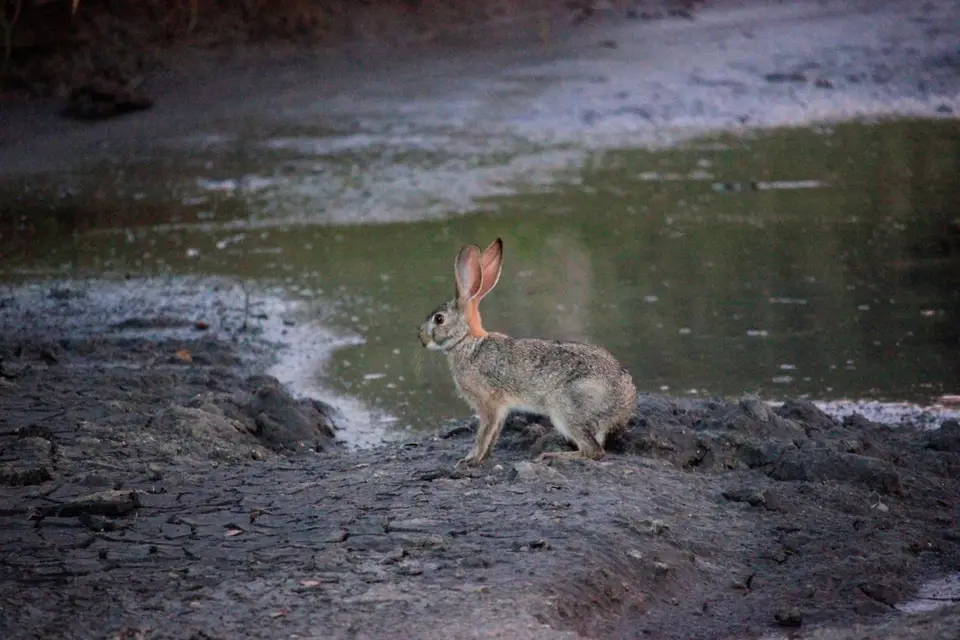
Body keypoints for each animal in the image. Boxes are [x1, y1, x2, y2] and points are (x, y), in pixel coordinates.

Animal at [419, 237, 637, 467]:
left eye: (439, 319)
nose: (421, 339)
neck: (467, 341)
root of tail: (624, 404)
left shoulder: (488, 403)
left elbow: (483, 433)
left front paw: (470, 460)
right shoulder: (501, 408)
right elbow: (493, 434)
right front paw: (482, 457)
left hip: (565, 408)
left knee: (593, 451)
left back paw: (550, 455)